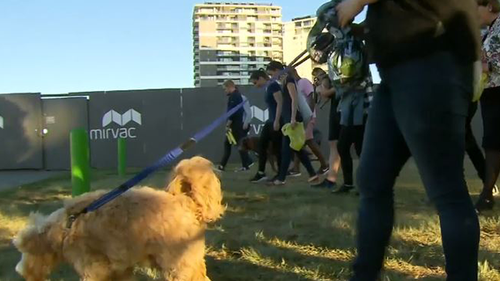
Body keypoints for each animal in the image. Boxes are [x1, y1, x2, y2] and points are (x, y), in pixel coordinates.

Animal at [14, 155, 225, 280]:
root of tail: (185, 201)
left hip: (177, 262)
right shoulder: (119, 268)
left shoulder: (93, 267)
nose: (21, 272)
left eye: (25, 253)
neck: (67, 225)